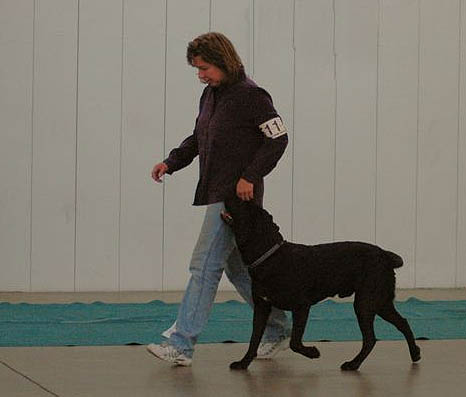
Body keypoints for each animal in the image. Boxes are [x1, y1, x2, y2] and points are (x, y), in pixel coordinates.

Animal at [220, 198, 420, 372]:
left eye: (244, 205)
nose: (229, 193)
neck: (271, 257)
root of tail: (385, 255)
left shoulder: (301, 306)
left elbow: (294, 342)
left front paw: (312, 352)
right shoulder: (261, 307)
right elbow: (254, 339)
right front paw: (243, 363)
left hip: (365, 303)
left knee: (371, 339)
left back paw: (353, 364)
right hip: (380, 302)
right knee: (402, 323)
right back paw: (415, 353)